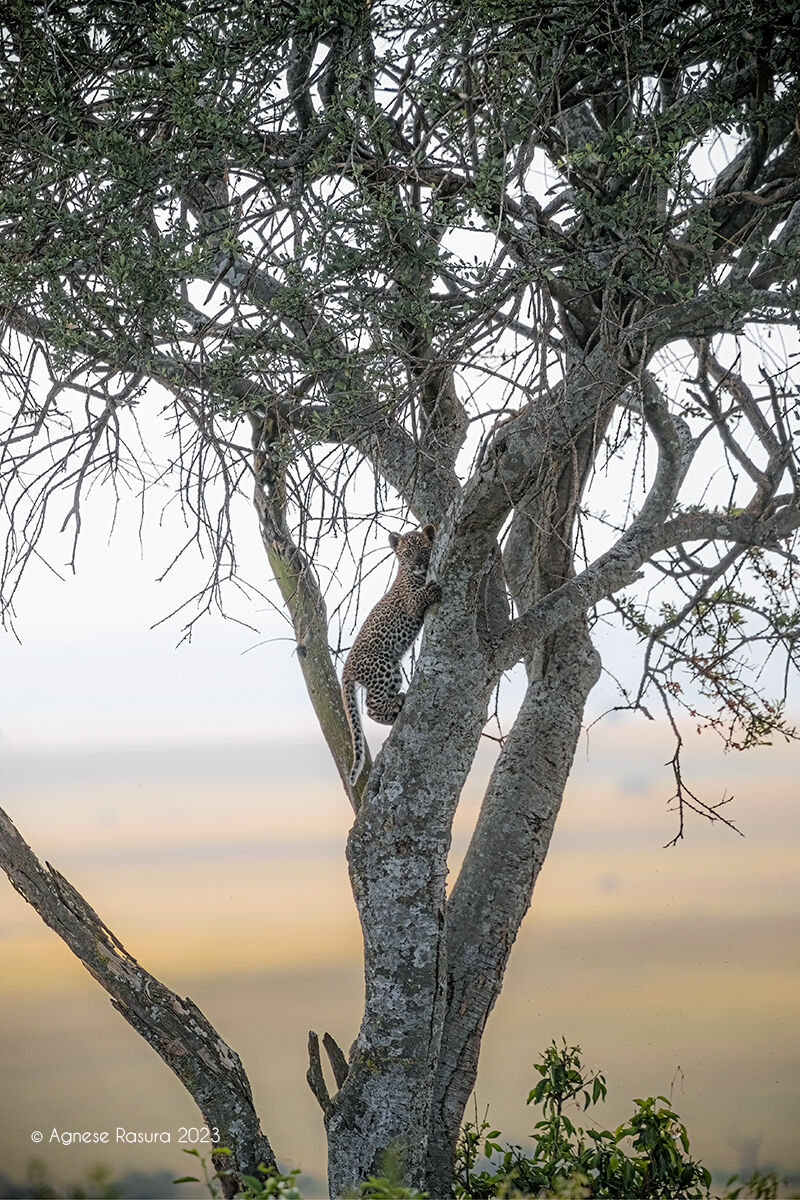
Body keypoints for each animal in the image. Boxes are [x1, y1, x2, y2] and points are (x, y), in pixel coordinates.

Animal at [342, 523, 442, 785]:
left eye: (423, 550)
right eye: (407, 553)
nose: (418, 563)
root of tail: (346, 667)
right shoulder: (411, 601)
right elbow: (419, 595)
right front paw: (432, 589)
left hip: (392, 669)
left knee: (370, 709)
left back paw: (394, 709)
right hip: (382, 665)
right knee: (370, 702)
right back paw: (395, 703)